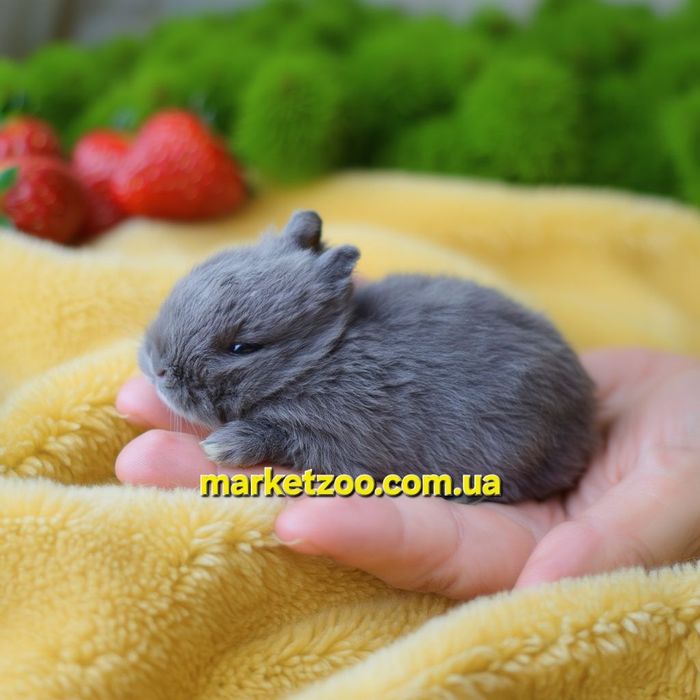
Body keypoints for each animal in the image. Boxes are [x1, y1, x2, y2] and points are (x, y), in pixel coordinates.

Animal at [139, 210, 597, 503]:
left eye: (242, 347)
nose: (155, 367)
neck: (318, 359)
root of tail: (588, 415)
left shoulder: (334, 435)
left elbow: (282, 437)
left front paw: (221, 447)